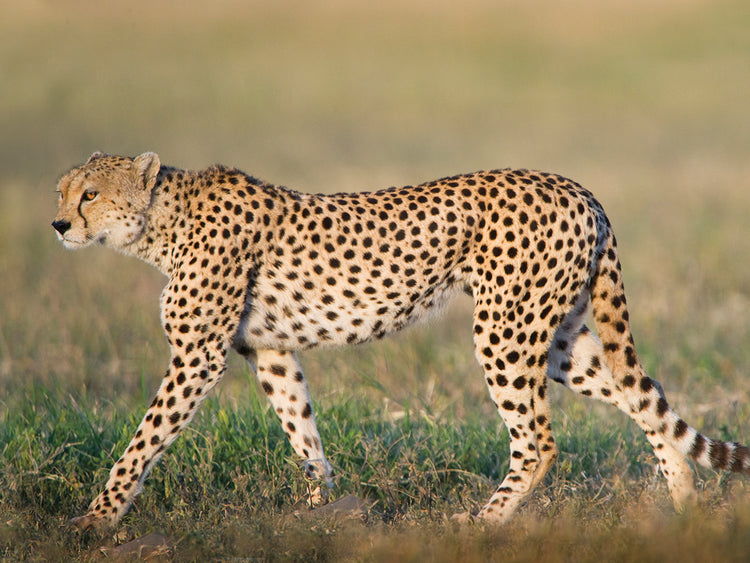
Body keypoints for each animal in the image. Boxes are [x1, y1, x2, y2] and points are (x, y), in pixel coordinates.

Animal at [52, 151, 750, 529]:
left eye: (92, 194)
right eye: (63, 191)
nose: (58, 224)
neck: (160, 223)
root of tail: (576, 186)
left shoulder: (198, 356)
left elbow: (144, 441)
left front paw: (97, 519)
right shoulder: (272, 351)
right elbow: (302, 431)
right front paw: (321, 511)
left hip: (505, 332)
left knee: (541, 441)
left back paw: (483, 523)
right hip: (559, 343)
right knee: (643, 395)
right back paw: (682, 503)